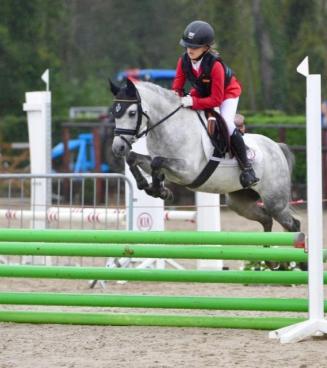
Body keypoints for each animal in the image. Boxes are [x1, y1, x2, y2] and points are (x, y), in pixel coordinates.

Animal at [111, 78, 302, 233]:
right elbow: (134, 158)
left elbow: (157, 162)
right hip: (240, 202)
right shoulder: (163, 165)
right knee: (266, 219)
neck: (170, 126)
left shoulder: (188, 170)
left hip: (274, 201)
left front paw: (159, 190)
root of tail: (276, 147)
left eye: (132, 113)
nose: (118, 147)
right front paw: (151, 187)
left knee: (292, 224)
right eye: (114, 112)